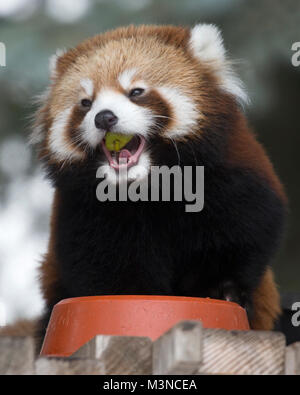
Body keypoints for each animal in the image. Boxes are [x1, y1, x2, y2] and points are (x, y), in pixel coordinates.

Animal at [28, 25, 286, 346]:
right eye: (86, 103)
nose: (104, 117)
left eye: (136, 92)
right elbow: (109, 270)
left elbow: (241, 236)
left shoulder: (232, 184)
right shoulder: (86, 215)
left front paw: (219, 290)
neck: (150, 187)